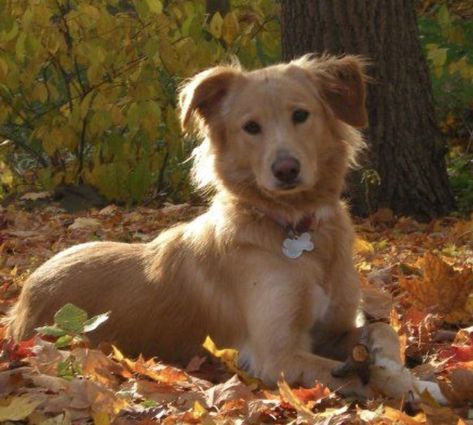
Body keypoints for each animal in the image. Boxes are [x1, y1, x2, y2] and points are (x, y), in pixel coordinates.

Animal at [5, 54, 444, 400]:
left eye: (300, 115)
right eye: (251, 127)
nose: (286, 169)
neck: (293, 228)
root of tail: (24, 295)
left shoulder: (334, 331)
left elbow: (383, 331)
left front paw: (408, 376)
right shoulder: (276, 355)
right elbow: (359, 378)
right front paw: (410, 389)